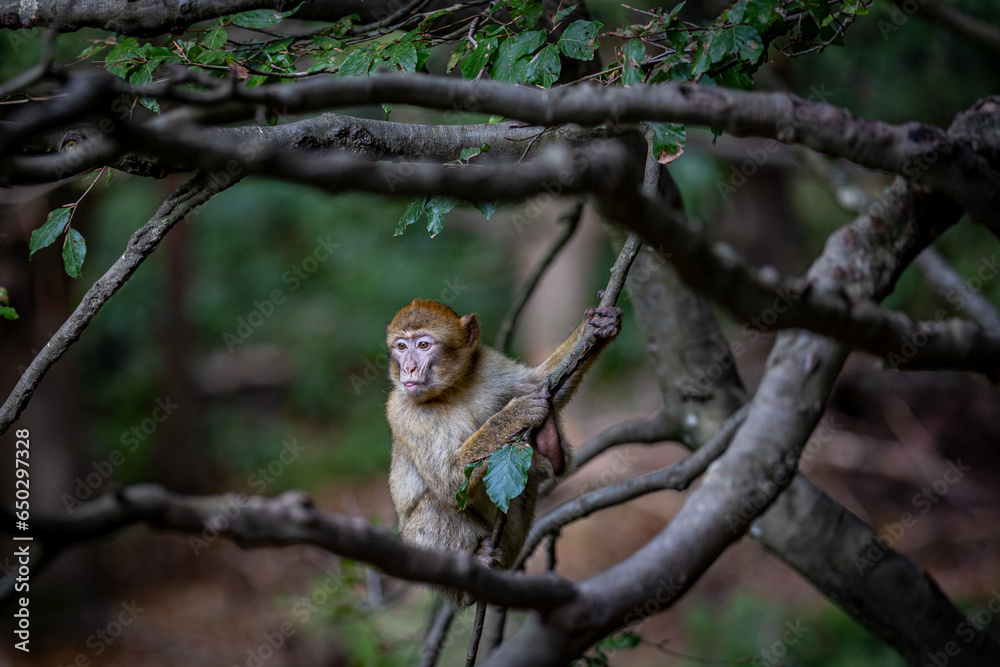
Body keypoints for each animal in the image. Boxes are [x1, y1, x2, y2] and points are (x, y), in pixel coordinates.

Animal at [385, 298, 621, 606]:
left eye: (423, 345)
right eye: (401, 347)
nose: (409, 369)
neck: (450, 390)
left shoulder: (490, 366)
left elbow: (541, 381)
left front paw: (597, 328)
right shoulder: (404, 411)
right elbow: (448, 481)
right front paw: (515, 413)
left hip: (512, 538)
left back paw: (550, 447)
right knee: (436, 503)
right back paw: (470, 576)